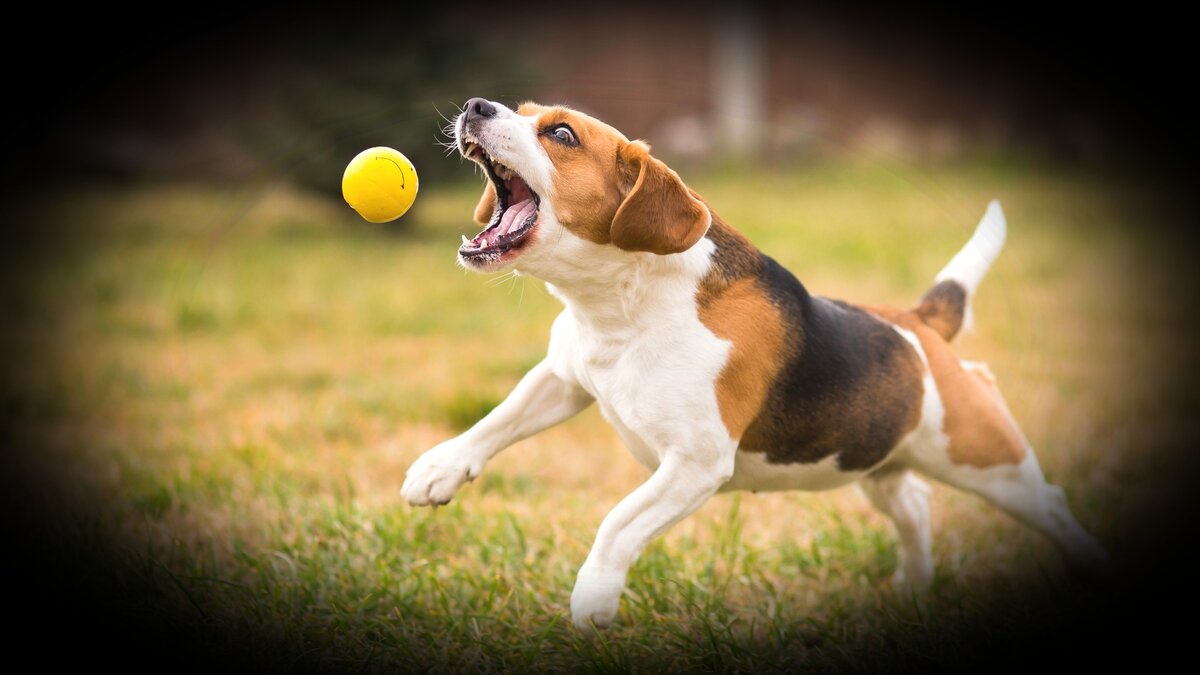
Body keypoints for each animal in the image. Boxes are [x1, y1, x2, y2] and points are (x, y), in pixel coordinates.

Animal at [400, 97, 1104, 629]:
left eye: (562, 134)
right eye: (519, 113)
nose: (475, 105)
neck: (621, 303)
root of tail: (918, 325)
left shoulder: (695, 463)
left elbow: (617, 522)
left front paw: (593, 598)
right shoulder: (565, 377)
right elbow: (497, 420)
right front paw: (438, 470)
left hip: (988, 460)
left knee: (1052, 505)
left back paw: (1084, 565)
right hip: (876, 462)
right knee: (916, 502)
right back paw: (912, 586)